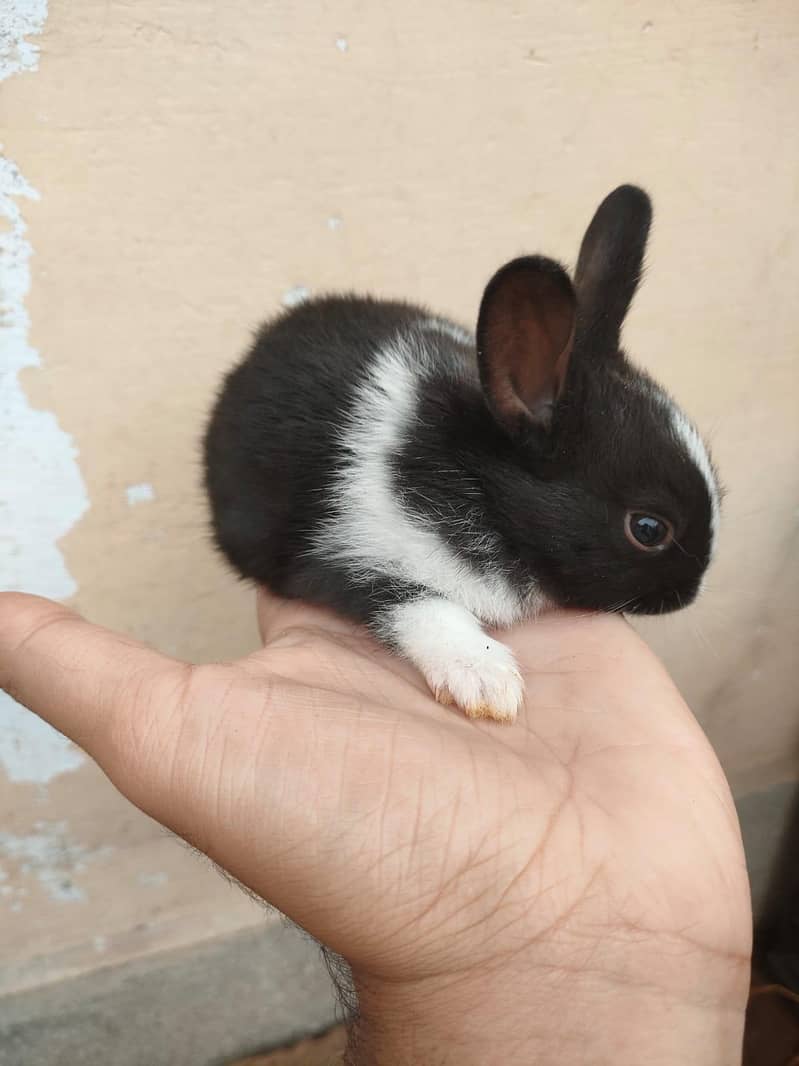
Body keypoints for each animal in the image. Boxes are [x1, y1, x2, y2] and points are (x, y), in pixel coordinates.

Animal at [203, 185, 720, 724]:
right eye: (649, 529)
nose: (689, 593)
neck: (479, 484)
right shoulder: (357, 556)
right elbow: (426, 608)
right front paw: (487, 682)